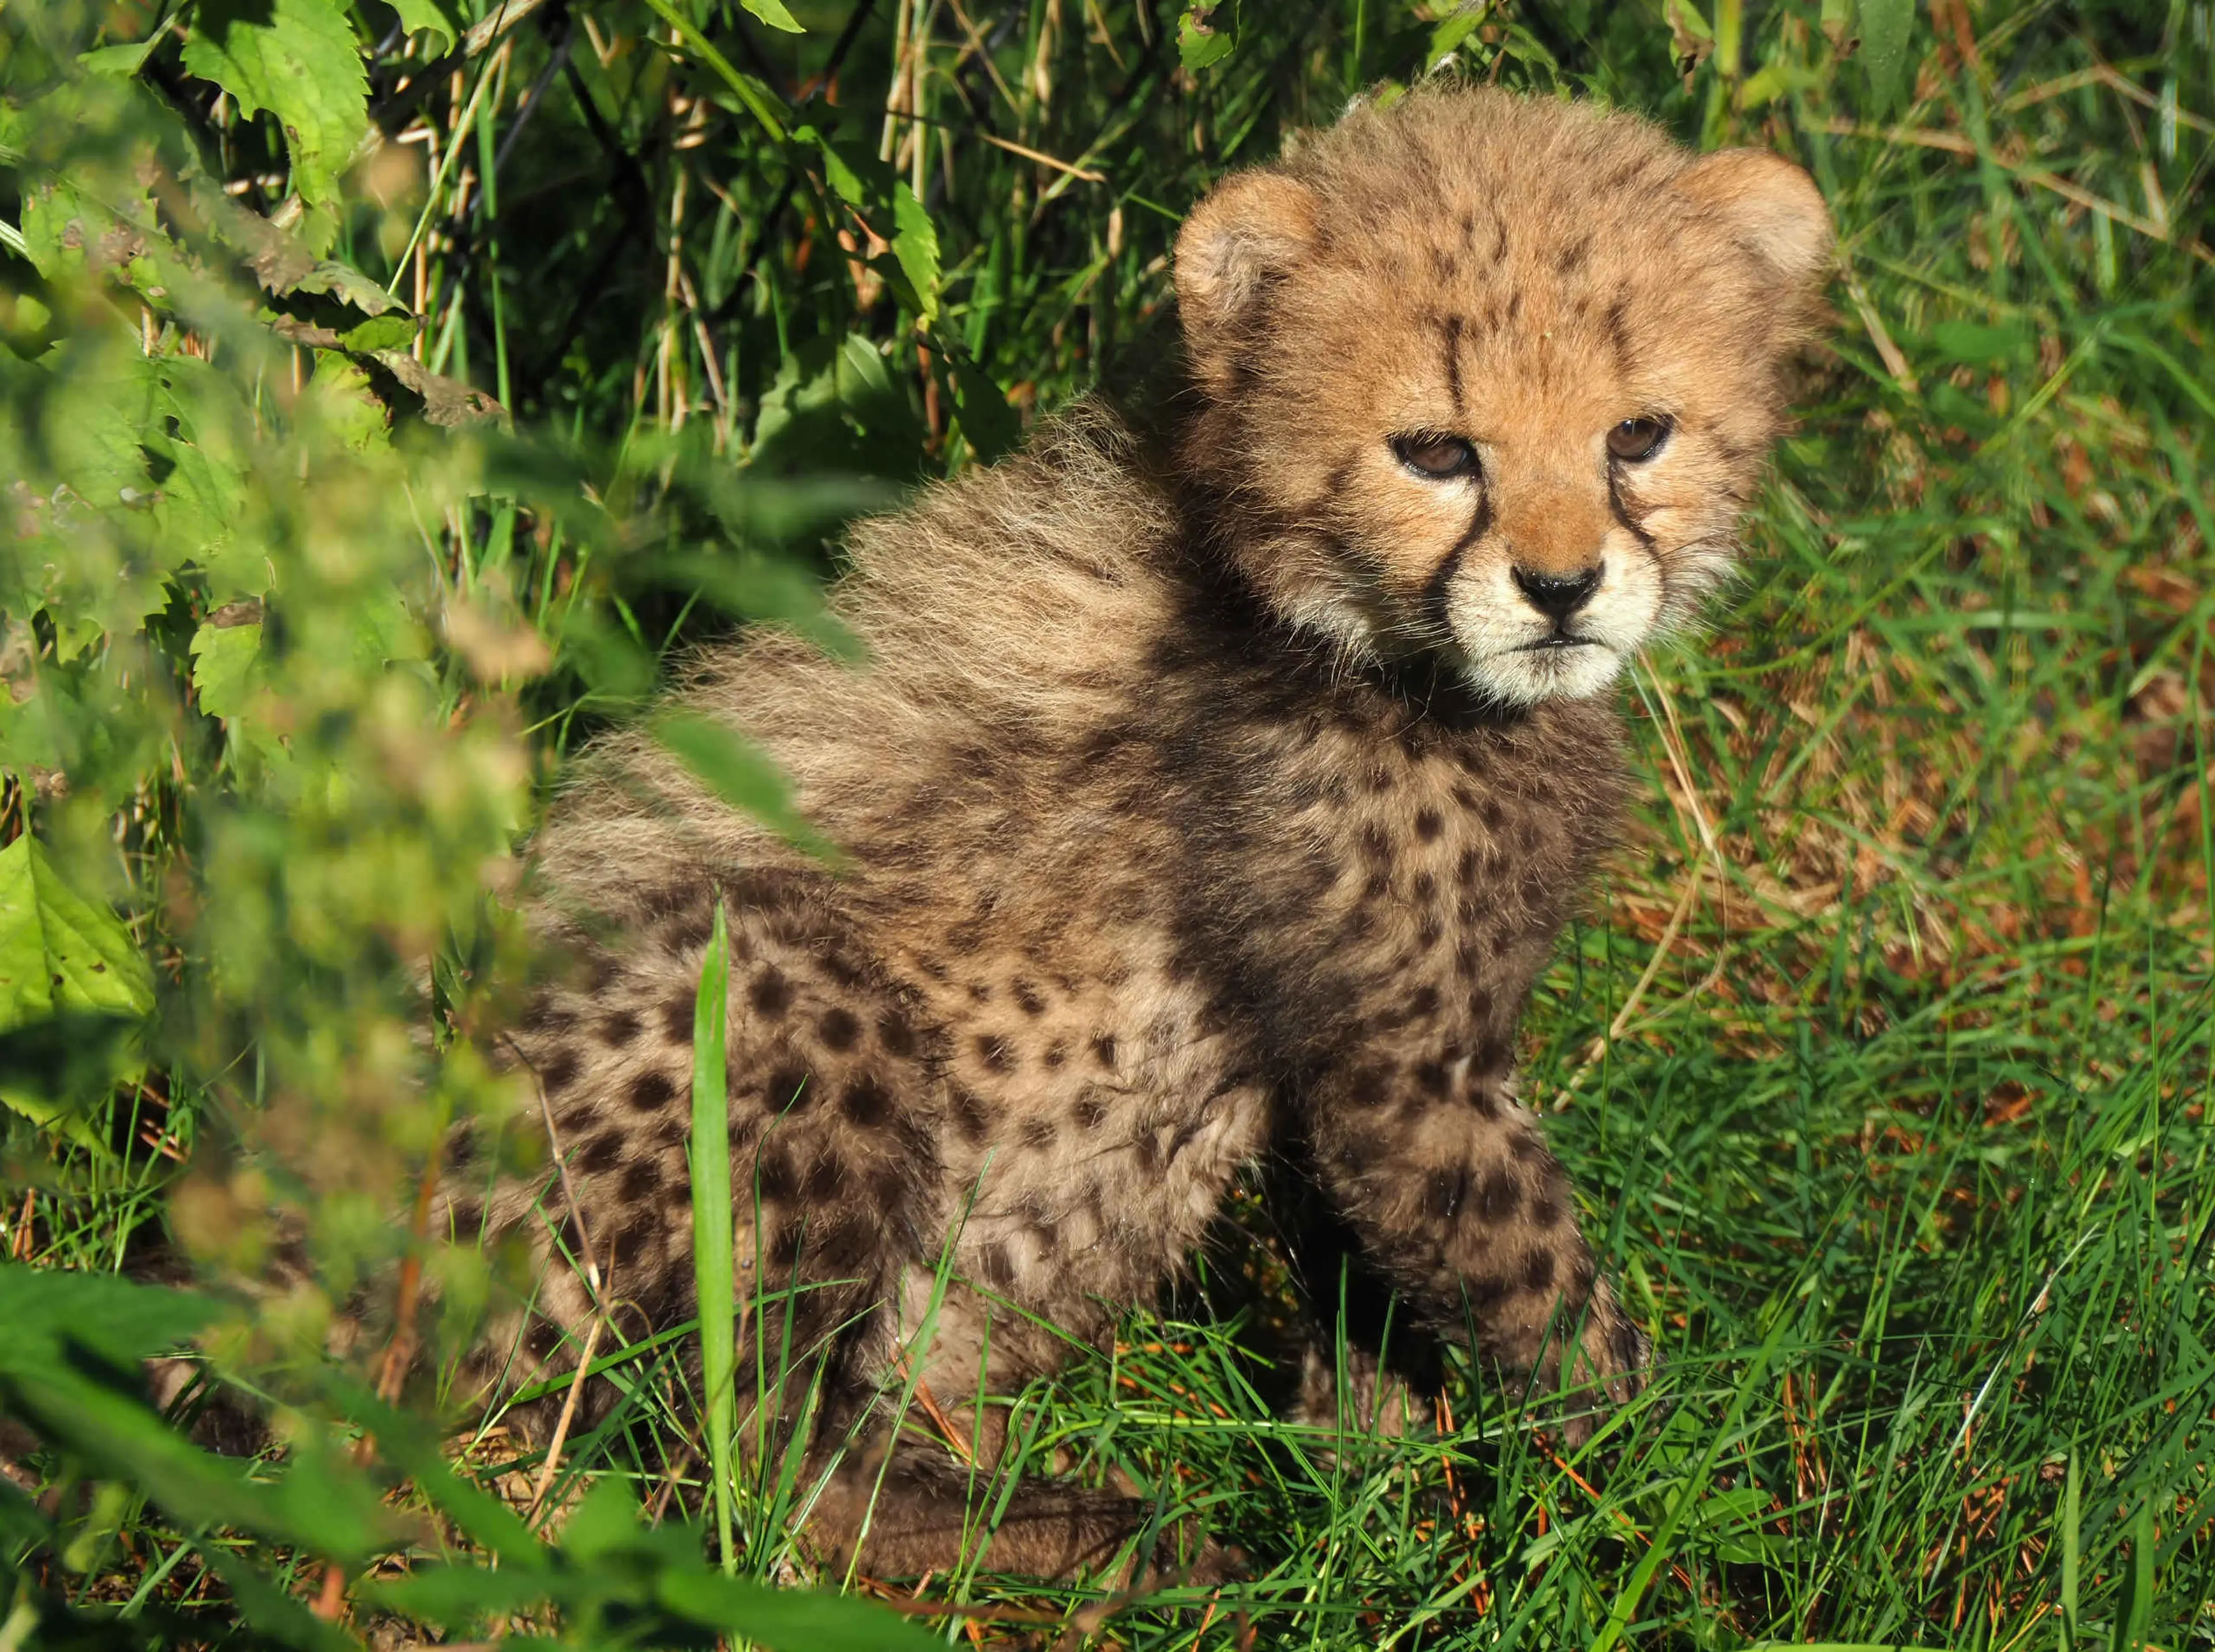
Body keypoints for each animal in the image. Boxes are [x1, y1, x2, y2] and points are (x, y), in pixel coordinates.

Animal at [431, 84, 1833, 1584]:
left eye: (1639, 434)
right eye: (1438, 452)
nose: (1560, 588)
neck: (1348, 638)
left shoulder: (1338, 1064)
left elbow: (1366, 1284)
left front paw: (1366, 1487)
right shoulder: (1411, 1077)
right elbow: (1550, 1298)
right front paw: (1691, 1511)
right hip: (760, 986)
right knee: (761, 1456)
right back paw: (1099, 1535)